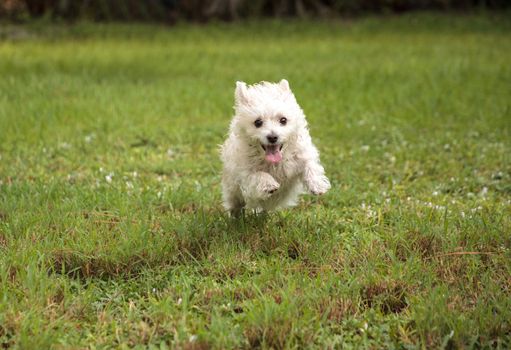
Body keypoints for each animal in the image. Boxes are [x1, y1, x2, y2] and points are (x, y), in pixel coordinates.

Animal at [220, 79, 332, 215]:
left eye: (283, 120)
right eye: (258, 122)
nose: (273, 137)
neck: (275, 163)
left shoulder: (302, 155)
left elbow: (310, 165)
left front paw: (317, 185)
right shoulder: (244, 173)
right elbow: (257, 174)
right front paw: (269, 185)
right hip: (233, 191)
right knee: (235, 203)